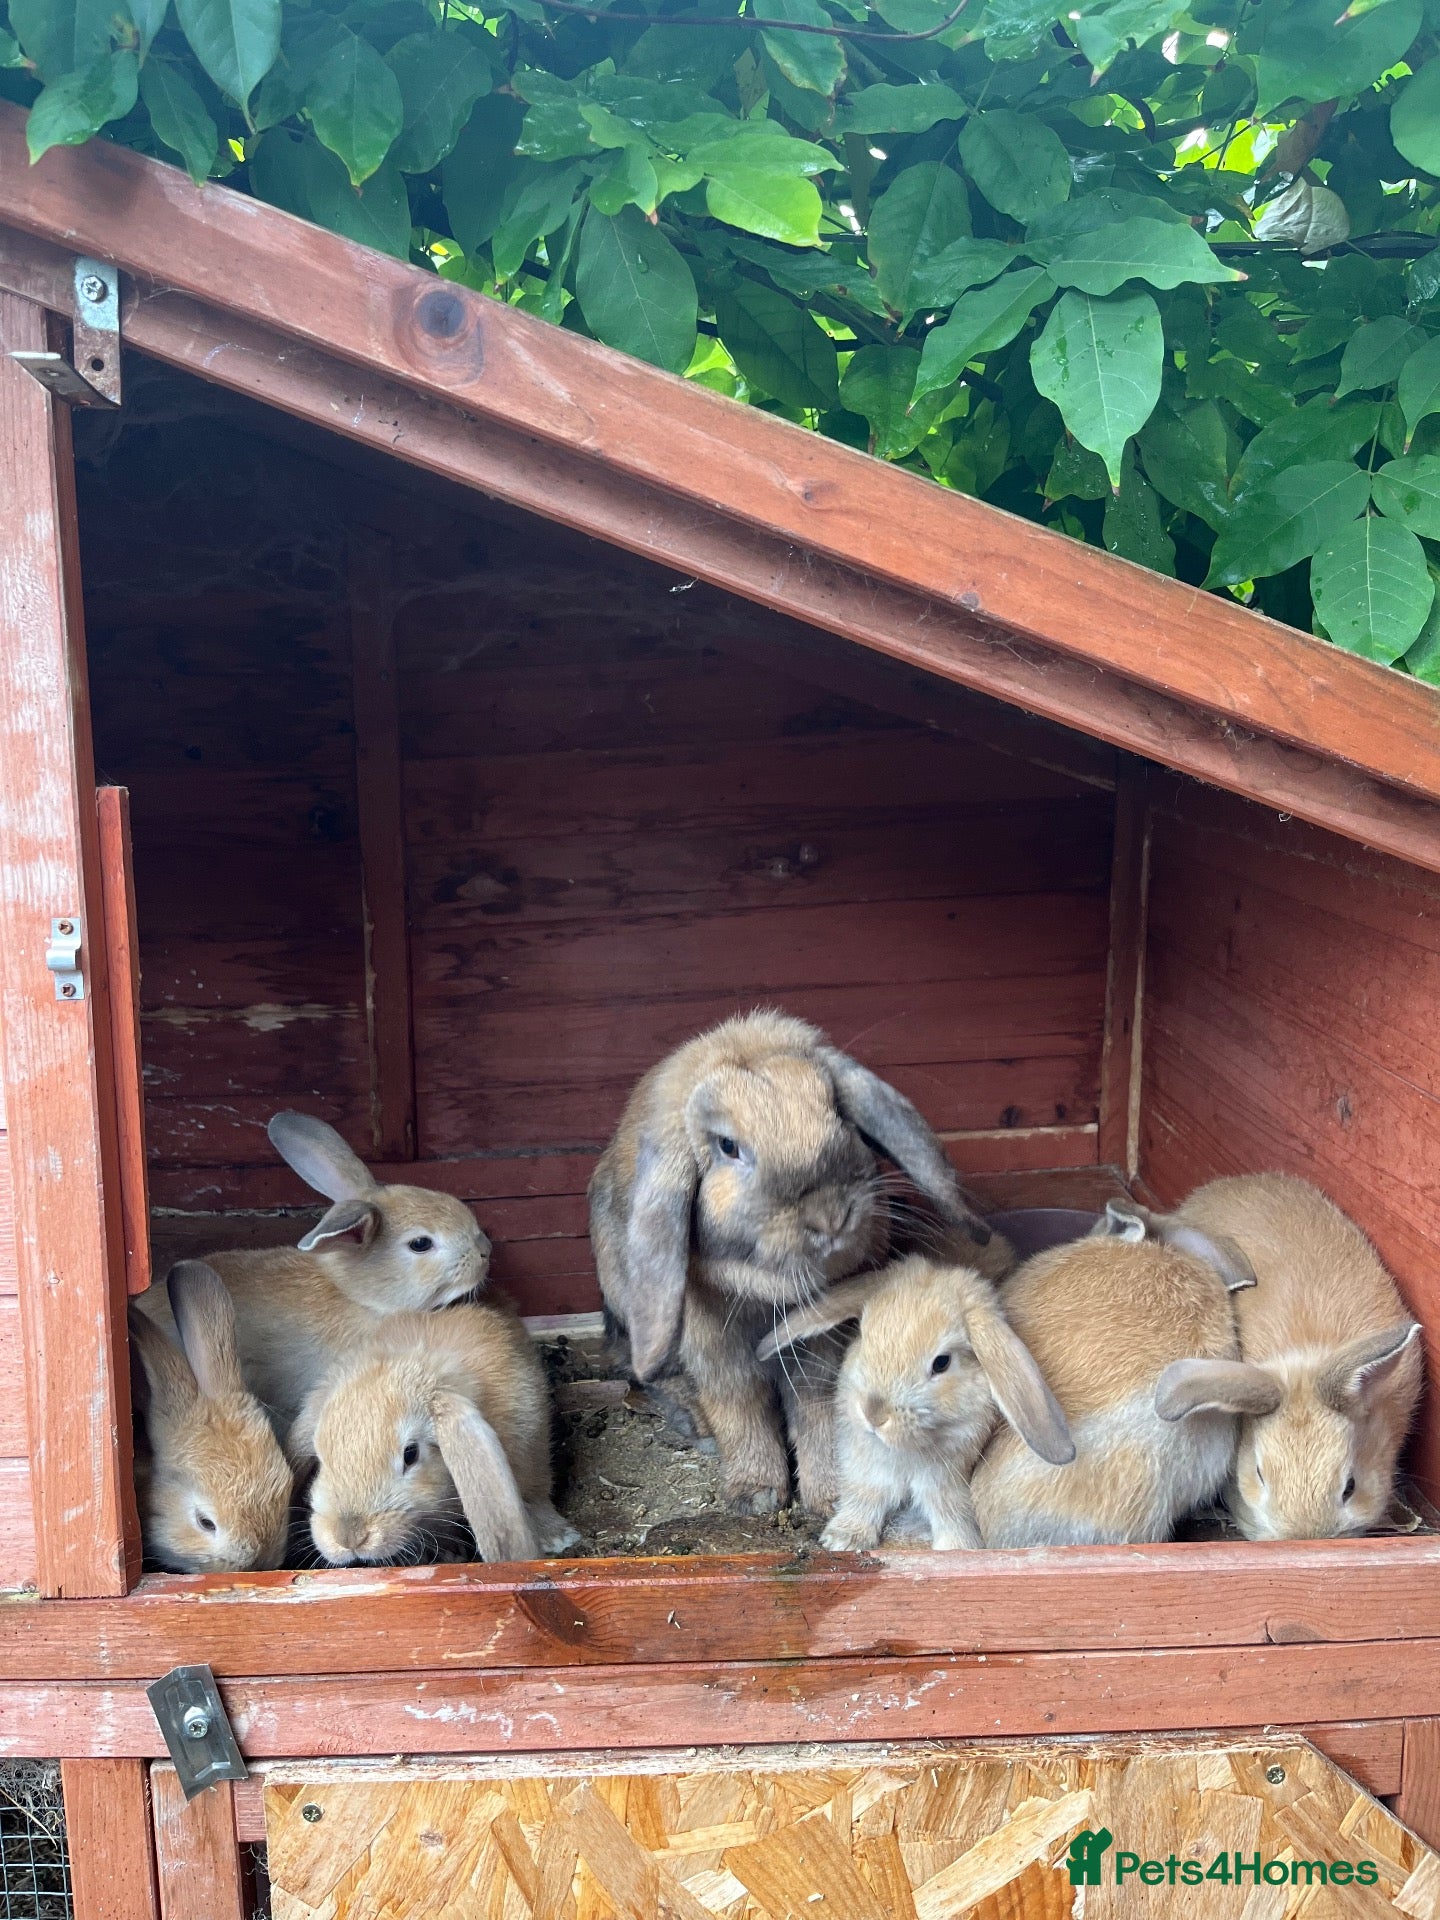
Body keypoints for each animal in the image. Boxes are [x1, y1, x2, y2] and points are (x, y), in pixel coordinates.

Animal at [288, 1299, 577, 1568]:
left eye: (410, 1454)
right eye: (320, 1460)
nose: (350, 1538)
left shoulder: (530, 1447)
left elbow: (534, 1495)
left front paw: (558, 1538)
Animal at [589, 1008, 997, 1516]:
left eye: (837, 1110)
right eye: (727, 1146)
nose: (830, 1216)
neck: (770, 1291)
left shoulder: (821, 1344)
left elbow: (817, 1406)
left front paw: (830, 1494)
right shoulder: (715, 1347)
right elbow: (740, 1406)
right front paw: (756, 1494)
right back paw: (693, 1421)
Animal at [759, 1255, 1073, 1552]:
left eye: (942, 1362)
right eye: (863, 1333)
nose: (873, 1414)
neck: (906, 1451)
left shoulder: (947, 1480)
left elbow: (949, 1513)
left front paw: (957, 1547)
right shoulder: (865, 1466)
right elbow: (865, 1496)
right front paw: (843, 1539)